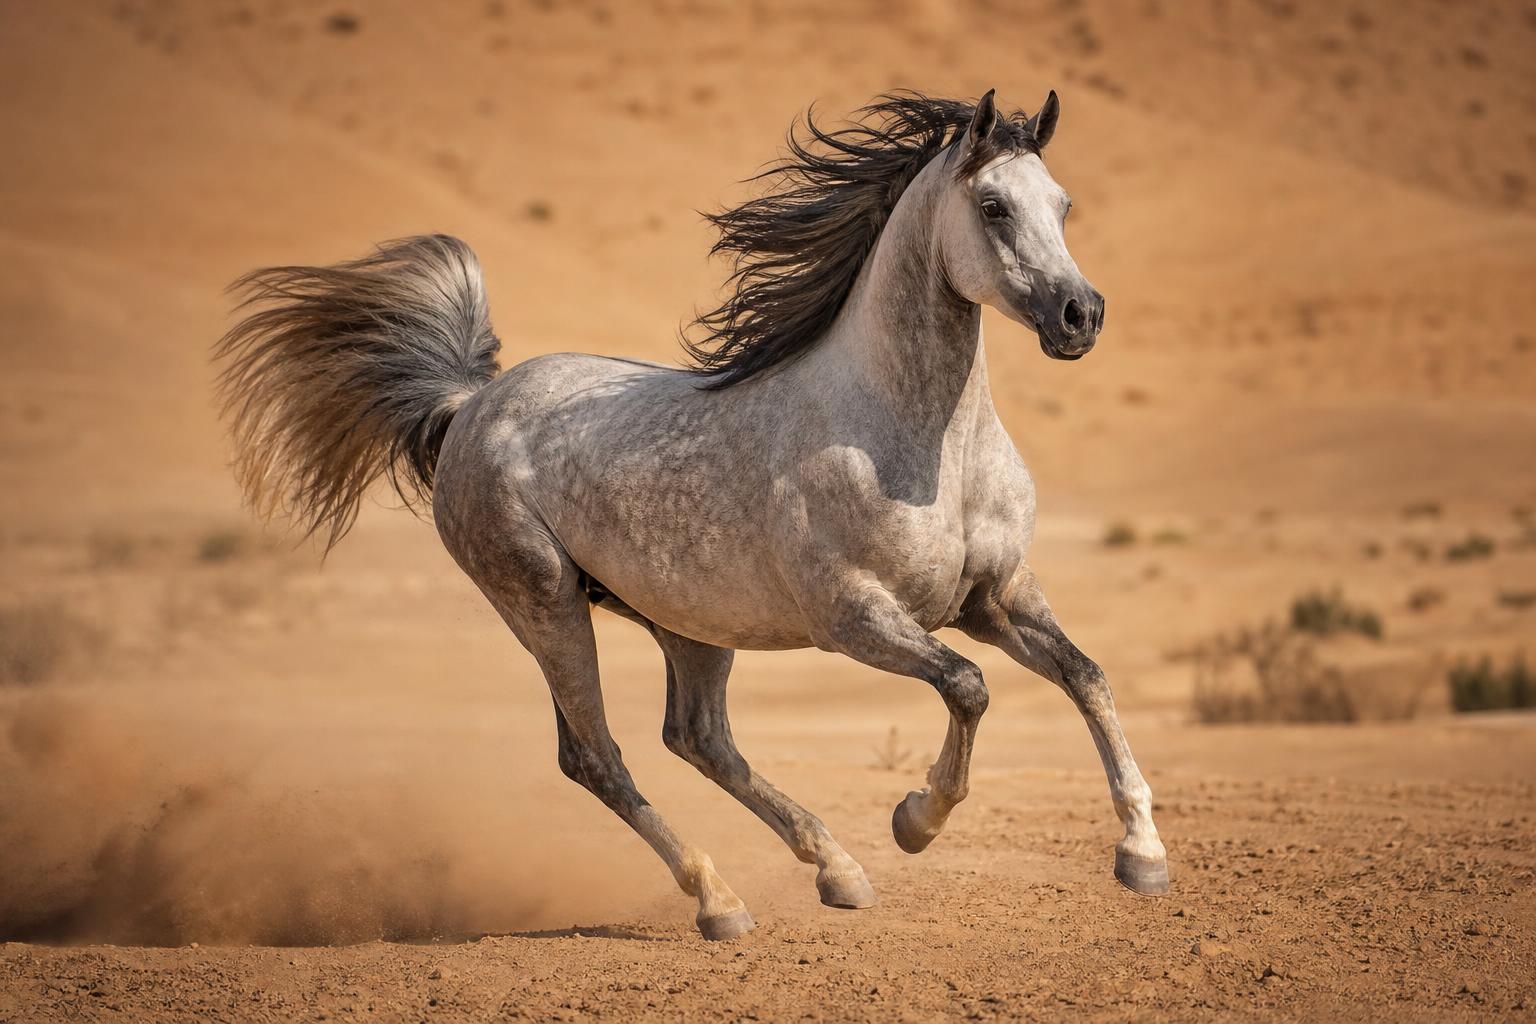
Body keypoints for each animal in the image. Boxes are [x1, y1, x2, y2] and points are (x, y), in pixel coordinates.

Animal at [214, 89, 1169, 941]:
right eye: (994, 205)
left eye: (1063, 204)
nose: (1081, 316)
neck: (925, 449)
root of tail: (472, 403)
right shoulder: (859, 619)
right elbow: (969, 688)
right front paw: (916, 820)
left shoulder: (997, 597)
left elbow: (1087, 676)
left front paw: (1143, 855)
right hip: (545, 606)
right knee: (598, 757)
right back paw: (722, 902)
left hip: (687, 625)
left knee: (700, 739)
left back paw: (837, 873)